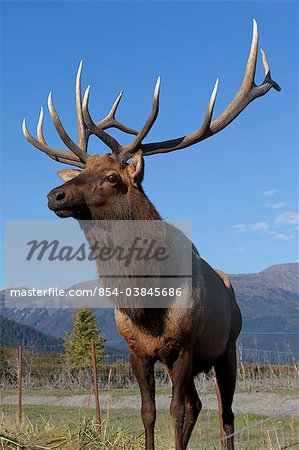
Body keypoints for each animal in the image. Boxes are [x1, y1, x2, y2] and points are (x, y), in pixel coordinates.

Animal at [23, 19, 282, 448]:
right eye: (82, 170)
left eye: (112, 177)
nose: (53, 194)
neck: (147, 308)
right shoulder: (137, 352)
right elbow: (149, 412)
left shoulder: (185, 346)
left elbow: (175, 412)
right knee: (198, 405)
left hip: (227, 347)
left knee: (225, 414)